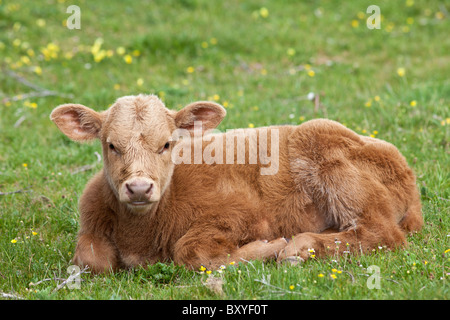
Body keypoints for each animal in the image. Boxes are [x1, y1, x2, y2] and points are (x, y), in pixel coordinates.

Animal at [51, 94, 424, 272]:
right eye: (111, 145)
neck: (139, 236)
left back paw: (299, 247)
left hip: (330, 153)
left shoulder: (242, 215)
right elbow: (92, 260)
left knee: (382, 234)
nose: (139, 188)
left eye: (167, 144)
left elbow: (191, 251)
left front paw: (269, 248)